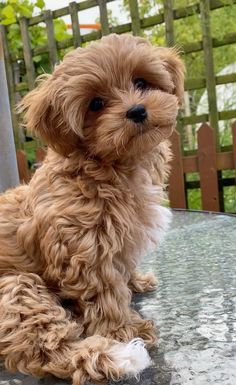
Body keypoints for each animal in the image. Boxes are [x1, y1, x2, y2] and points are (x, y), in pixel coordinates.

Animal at [0, 34, 184, 382]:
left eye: (141, 82)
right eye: (95, 104)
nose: (137, 110)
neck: (108, 164)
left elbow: (123, 269)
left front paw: (136, 282)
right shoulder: (85, 246)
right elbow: (105, 291)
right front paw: (125, 329)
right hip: (15, 288)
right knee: (47, 347)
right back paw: (118, 355)